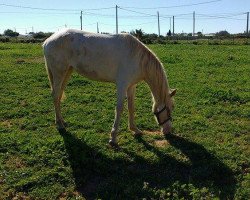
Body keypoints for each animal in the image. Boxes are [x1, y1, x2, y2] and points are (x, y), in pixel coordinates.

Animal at [43, 28, 176, 146]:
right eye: (170, 109)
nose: (168, 131)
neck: (137, 59)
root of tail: (48, 41)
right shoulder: (122, 85)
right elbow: (119, 109)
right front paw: (113, 138)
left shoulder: (131, 86)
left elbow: (131, 107)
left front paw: (135, 129)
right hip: (59, 73)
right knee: (55, 95)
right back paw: (60, 125)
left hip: (67, 72)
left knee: (59, 95)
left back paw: (61, 121)